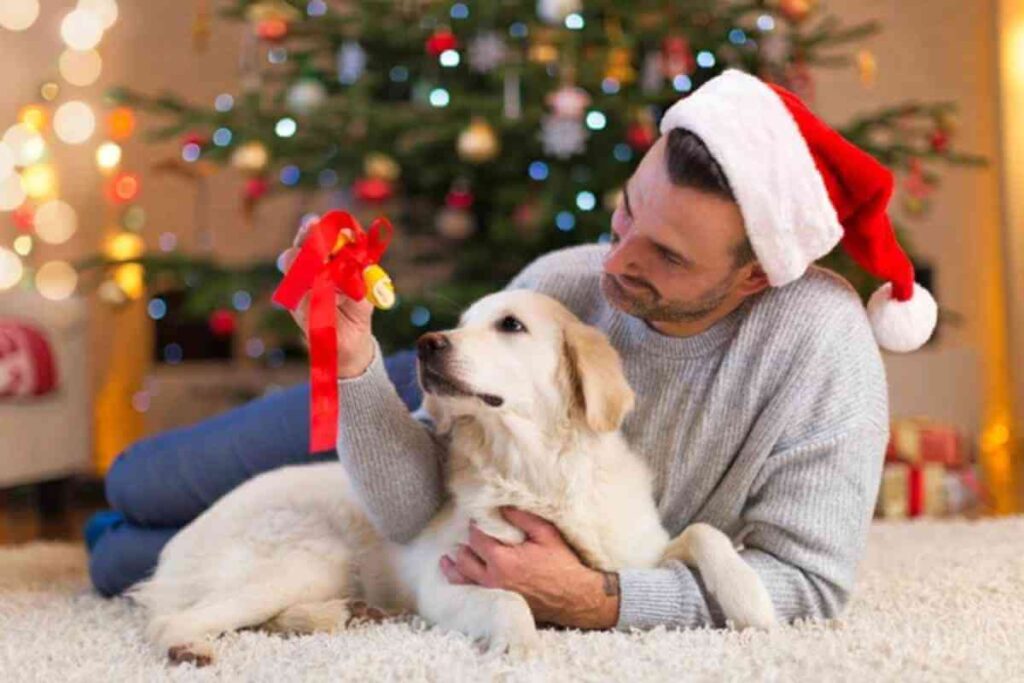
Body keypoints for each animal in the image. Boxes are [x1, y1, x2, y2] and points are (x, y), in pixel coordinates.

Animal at [128, 286, 770, 663]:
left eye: (511, 325)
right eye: (461, 322)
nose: (426, 343)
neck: (537, 471)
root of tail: (175, 547)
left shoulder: (635, 555)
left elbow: (705, 535)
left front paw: (752, 602)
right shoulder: (448, 581)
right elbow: (508, 598)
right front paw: (520, 647)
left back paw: (343, 614)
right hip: (309, 555)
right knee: (172, 621)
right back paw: (191, 645)